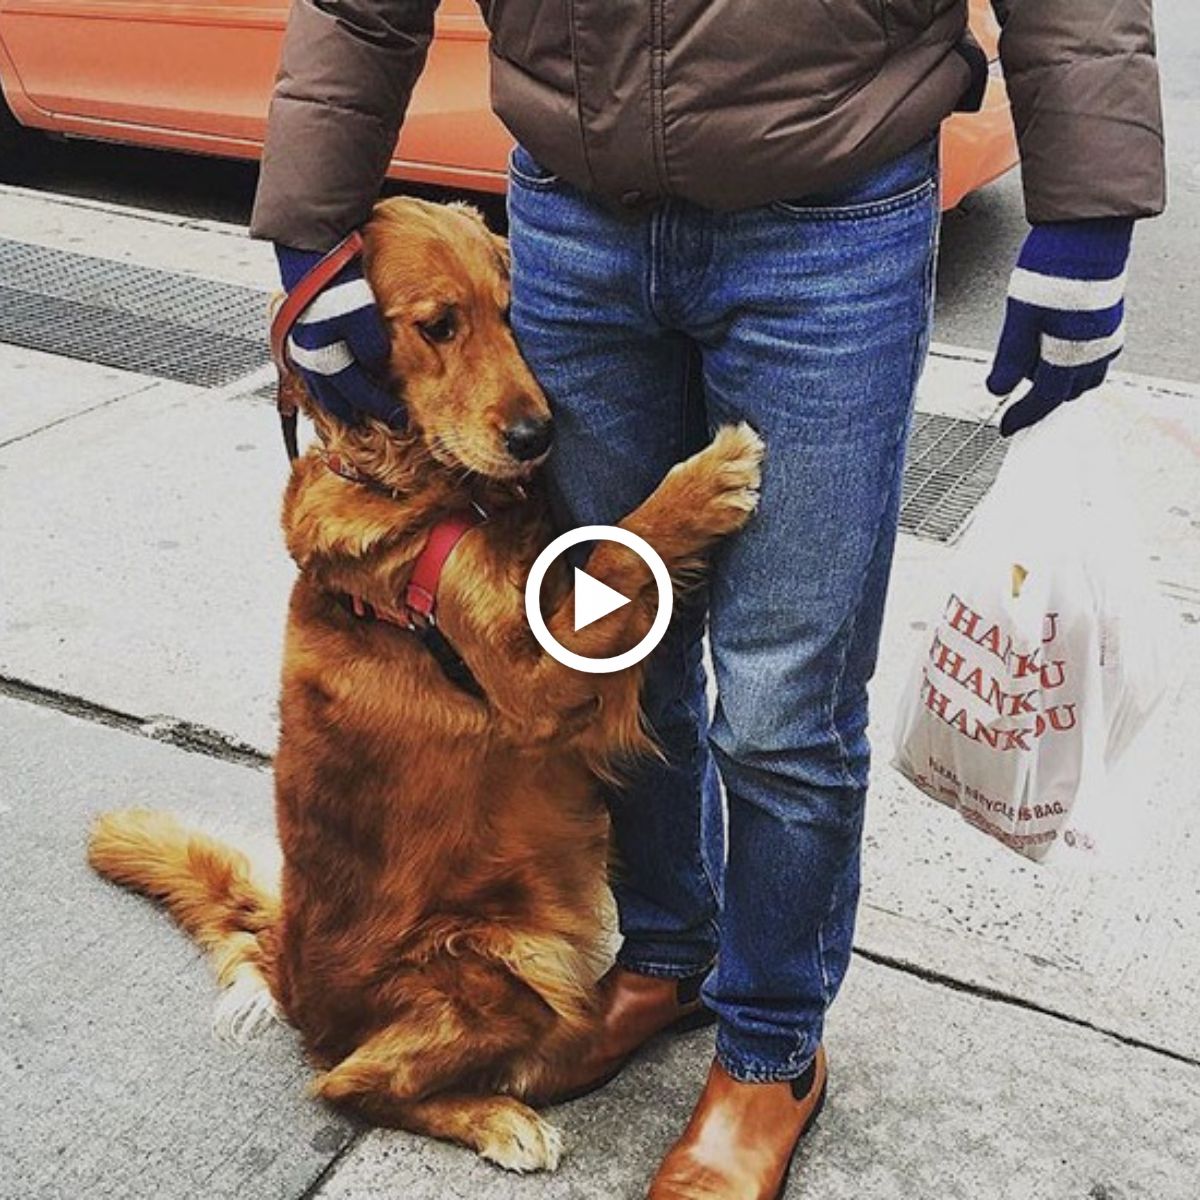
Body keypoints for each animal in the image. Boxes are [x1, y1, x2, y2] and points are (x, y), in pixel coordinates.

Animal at [88, 196, 763, 1171]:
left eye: (514, 314)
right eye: (439, 326)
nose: (536, 436)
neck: (438, 494)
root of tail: (290, 971)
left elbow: (597, 550)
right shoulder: (532, 681)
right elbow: (620, 547)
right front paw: (704, 483)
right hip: (501, 957)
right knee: (353, 1085)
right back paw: (501, 1115)